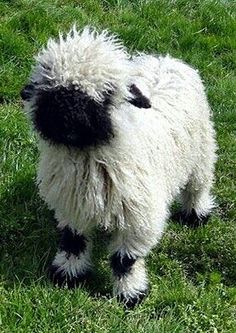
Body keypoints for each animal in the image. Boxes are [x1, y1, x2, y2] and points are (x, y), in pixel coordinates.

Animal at [21, 27, 217, 308]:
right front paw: (67, 275)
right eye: (50, 87)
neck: (88, 157)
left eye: (106, 94)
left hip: (202, 153)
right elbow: (73, 241)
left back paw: (196, 215)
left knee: (197, 187)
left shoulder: (139, 217)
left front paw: (130, 294)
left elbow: (125, 260)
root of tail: (166, 59)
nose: (66, 121)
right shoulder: (72, 206)